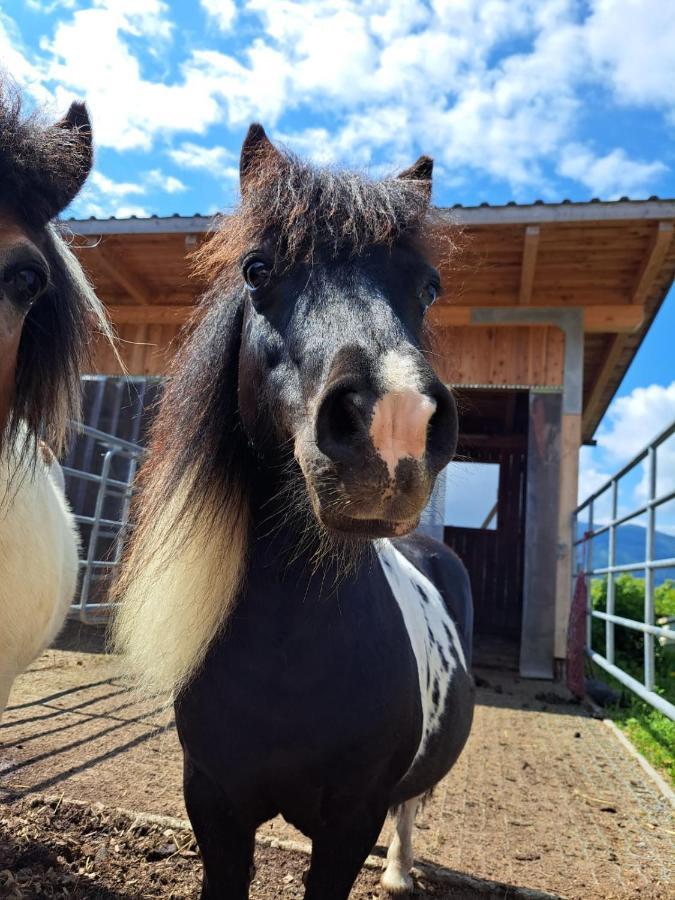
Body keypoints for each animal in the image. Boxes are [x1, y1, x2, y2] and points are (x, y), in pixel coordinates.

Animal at [113, 126, 476, 900]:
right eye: (257, 269)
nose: (393, 425)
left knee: (410, 809)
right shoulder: (213, 806)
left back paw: (398, 873)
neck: (290, 650)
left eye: (428, 289)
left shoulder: (349, 824)